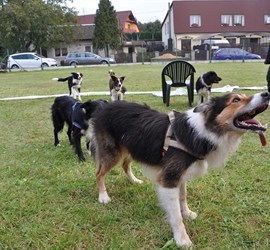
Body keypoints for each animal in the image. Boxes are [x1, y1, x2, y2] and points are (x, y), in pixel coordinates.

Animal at [87, 92, 268, 248]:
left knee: (125, 165)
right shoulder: (169, 178)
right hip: (112, 153)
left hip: (133, 147)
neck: (203, 130)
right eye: (236, 100)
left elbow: (183, 197)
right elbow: (175, 216)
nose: (266, 93)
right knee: (99, 173)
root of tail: (103, 106)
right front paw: (182, 239)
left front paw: (187, 213)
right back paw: (103, 196)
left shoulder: (180, 175)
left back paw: (134, 180)